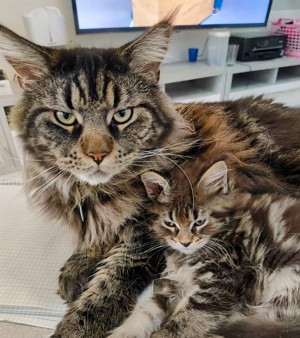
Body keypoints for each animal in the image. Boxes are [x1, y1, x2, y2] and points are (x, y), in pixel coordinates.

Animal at [108, 160, 300, 338]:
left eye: (199, 222)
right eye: (171, 224)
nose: (185, 243)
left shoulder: (219, 285)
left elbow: (186, 320)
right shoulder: (174, 283)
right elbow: (146, 310)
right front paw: (125, 332)